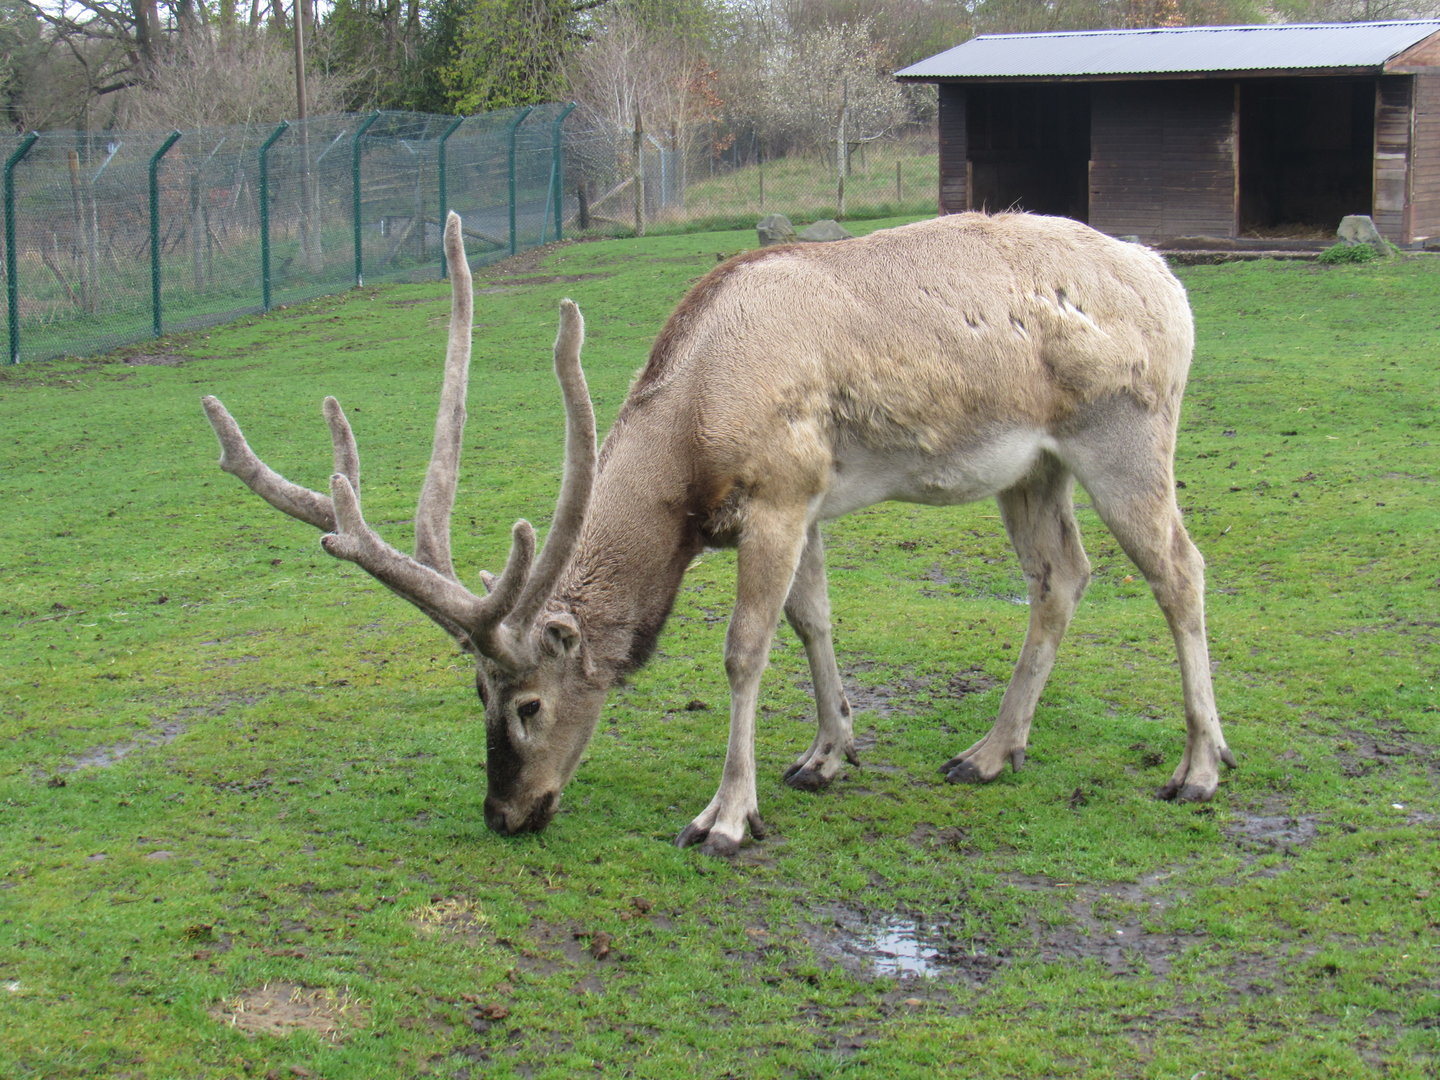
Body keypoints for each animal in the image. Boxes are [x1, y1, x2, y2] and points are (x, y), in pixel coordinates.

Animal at [202, 210, 1235, 856]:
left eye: (528, 704)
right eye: (474, 696)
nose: (504, 814)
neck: (693, 441)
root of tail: (1173, 285)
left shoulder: (778, 491)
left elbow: (744, 650)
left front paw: (727, 818)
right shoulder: (809, 497)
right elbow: (813, 621)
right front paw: (827, 754)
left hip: (1127, 435)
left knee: (1180, 570)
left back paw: (1199, 768)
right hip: (1033, 468)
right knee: (1062, 575)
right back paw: (990, 752)